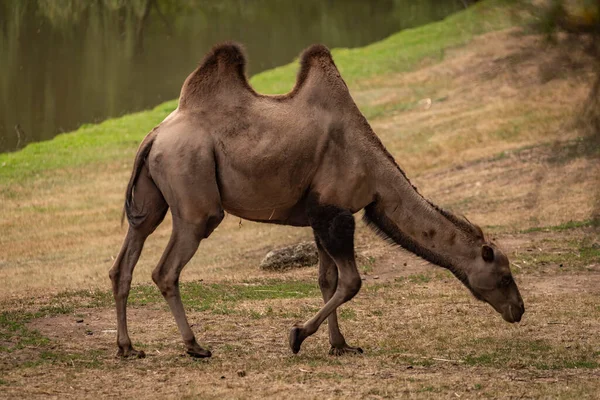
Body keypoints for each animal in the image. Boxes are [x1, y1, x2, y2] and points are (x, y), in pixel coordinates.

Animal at [110, 43, 524, 360]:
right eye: (504, 276)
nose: (519, 310)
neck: (376, 173)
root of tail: (154, 136)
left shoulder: (318, 212)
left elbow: (327, 279)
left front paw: (339, 345)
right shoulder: (336, 211)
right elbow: (351, 282)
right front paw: (297, 336)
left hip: (152, 197)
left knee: (125, 260)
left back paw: (128, 348)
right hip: (193, 192)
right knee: (167, 268)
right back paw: (195, 346)